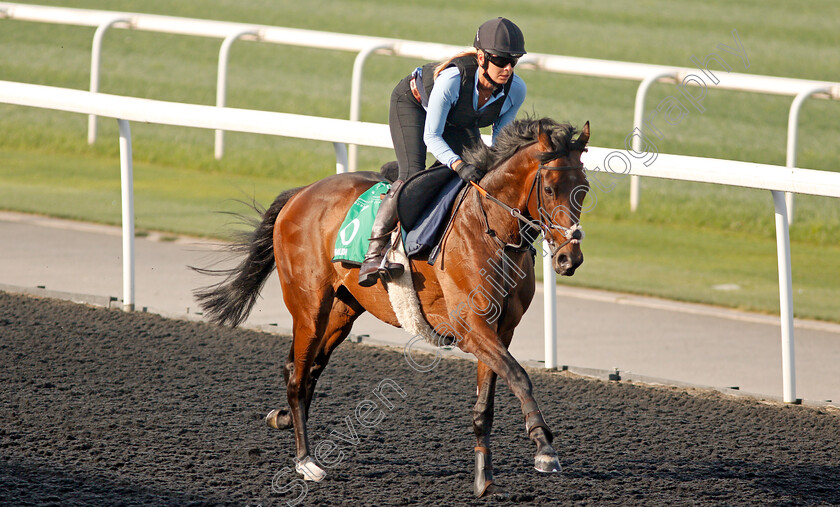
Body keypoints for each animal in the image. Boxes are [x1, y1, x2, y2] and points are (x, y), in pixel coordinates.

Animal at [195, 117, 592, 498]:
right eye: (550, 188)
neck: (490, 229)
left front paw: (484, 479)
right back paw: (305, 461)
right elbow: (520, 376)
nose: (569, 258)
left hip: (343, 312)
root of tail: (301, 193)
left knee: (308, 369)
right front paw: (544, 447)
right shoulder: (472, 327)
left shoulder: (500, 329)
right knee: (297, 375)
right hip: (310, 306)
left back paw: (284, 419)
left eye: (584, 188)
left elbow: (487, 404)